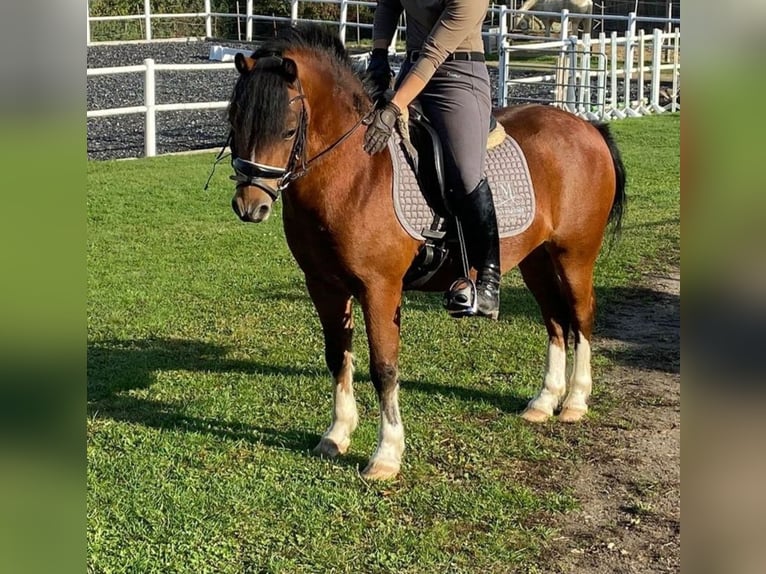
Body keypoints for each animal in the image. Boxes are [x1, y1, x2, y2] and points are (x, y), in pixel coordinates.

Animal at [225, 23, 628, 482]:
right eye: (234, 119)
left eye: (289, 130)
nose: (250, 205)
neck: (354, 174)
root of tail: (588, 128)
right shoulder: (324, 287)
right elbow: (337, 356)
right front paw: (337, 434)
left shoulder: (380, 289)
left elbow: (384, 367)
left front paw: (387, 454)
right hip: (537, 262)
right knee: (556, 321)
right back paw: (544, 401)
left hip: (574, 256)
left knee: (581, 317)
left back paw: (575, 401)